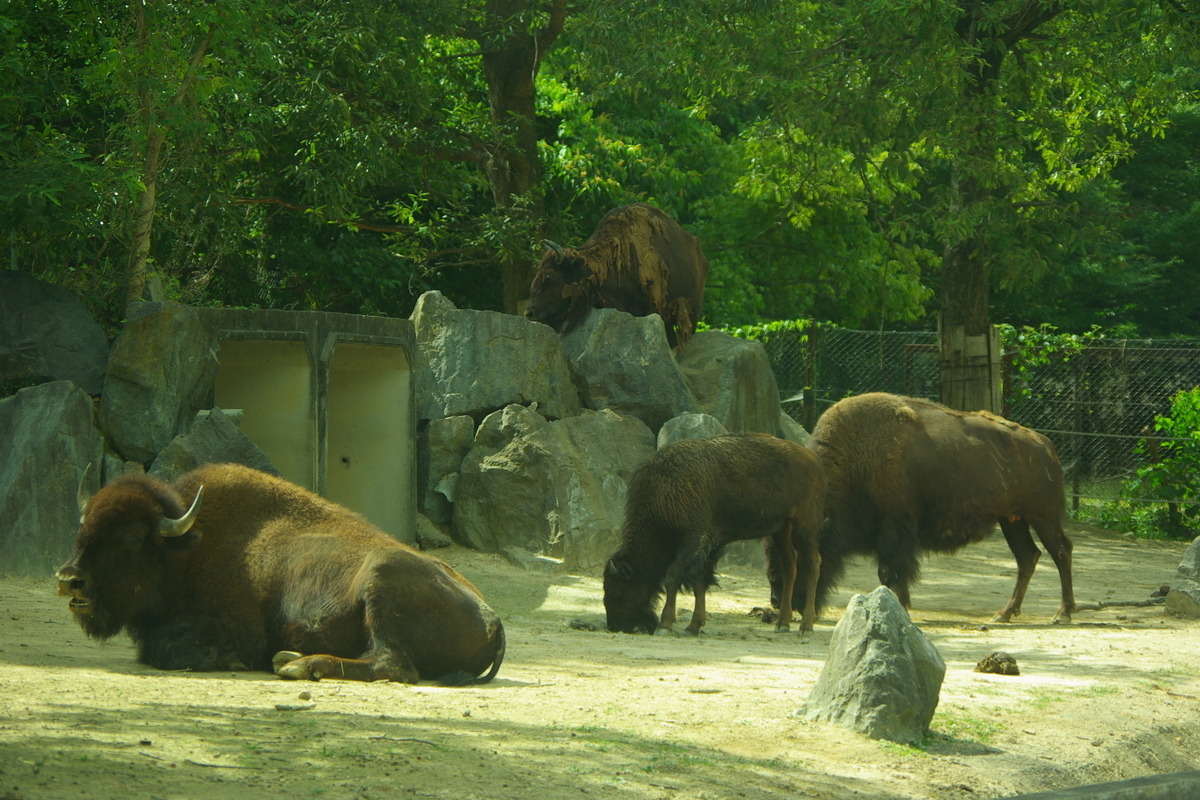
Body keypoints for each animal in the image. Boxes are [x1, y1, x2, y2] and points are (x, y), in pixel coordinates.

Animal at [57, 465, 506, 686]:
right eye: (82, 526)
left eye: (133, 536)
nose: (69, 579)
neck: (187, 546)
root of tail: (494, 618)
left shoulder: (238, 628)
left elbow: (161, 648)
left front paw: (228, 660)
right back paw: (291, 659)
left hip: (383, 580)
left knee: (391, 665)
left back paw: (298, 666)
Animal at [604, 434, 830, 633]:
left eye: (617, 590)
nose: (614, 626)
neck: (664, 491)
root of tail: (813, 459)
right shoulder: (708, 546)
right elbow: (700, 582)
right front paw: (693, 626)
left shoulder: (695, 539)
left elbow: (673, 576)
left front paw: (665, 626)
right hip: (782, 528)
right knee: (790, 566)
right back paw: (782, 624)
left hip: (805, 525)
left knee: (812, 564)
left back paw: (806, 626)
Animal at [777, 393, 1080, 623]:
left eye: (806, 557)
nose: (785, 602)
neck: (859, 457)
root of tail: (1046, 446)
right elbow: (890, 571)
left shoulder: (895, 529)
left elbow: (890, 571)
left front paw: (899, 604)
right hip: (1012, 520)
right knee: (1028, 557)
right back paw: (1004, 614)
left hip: (1042, 517)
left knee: (1061, 551)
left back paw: (1062, 614)